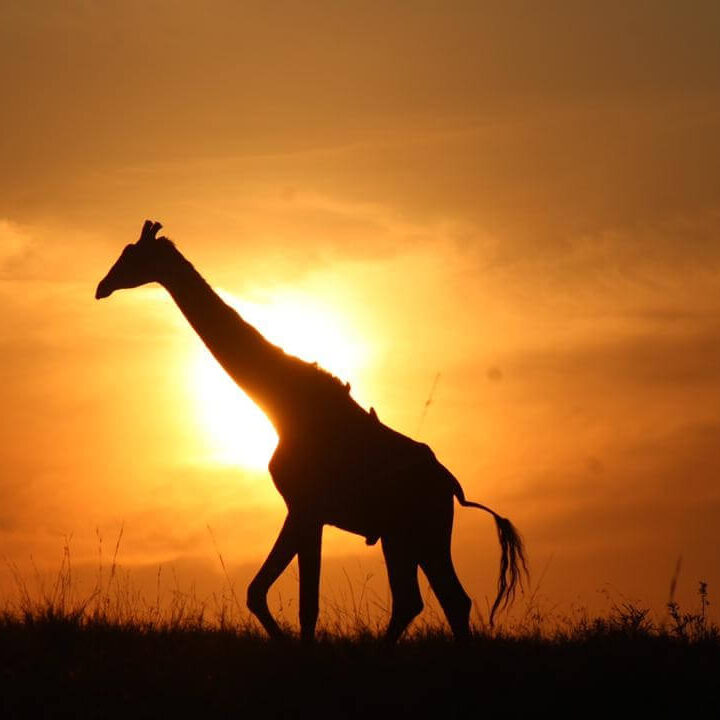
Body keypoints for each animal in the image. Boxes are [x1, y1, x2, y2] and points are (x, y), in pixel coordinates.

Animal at [96, 220, 528, 642]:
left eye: (132, 255)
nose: (102, 287)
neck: (283, 403)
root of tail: (451, 486)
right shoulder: (301, 508)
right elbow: (260, 592)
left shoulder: (307, 506)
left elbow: (304, 605)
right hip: (402, 536)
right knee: (427, 601)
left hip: (423, 531)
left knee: (443, 600)